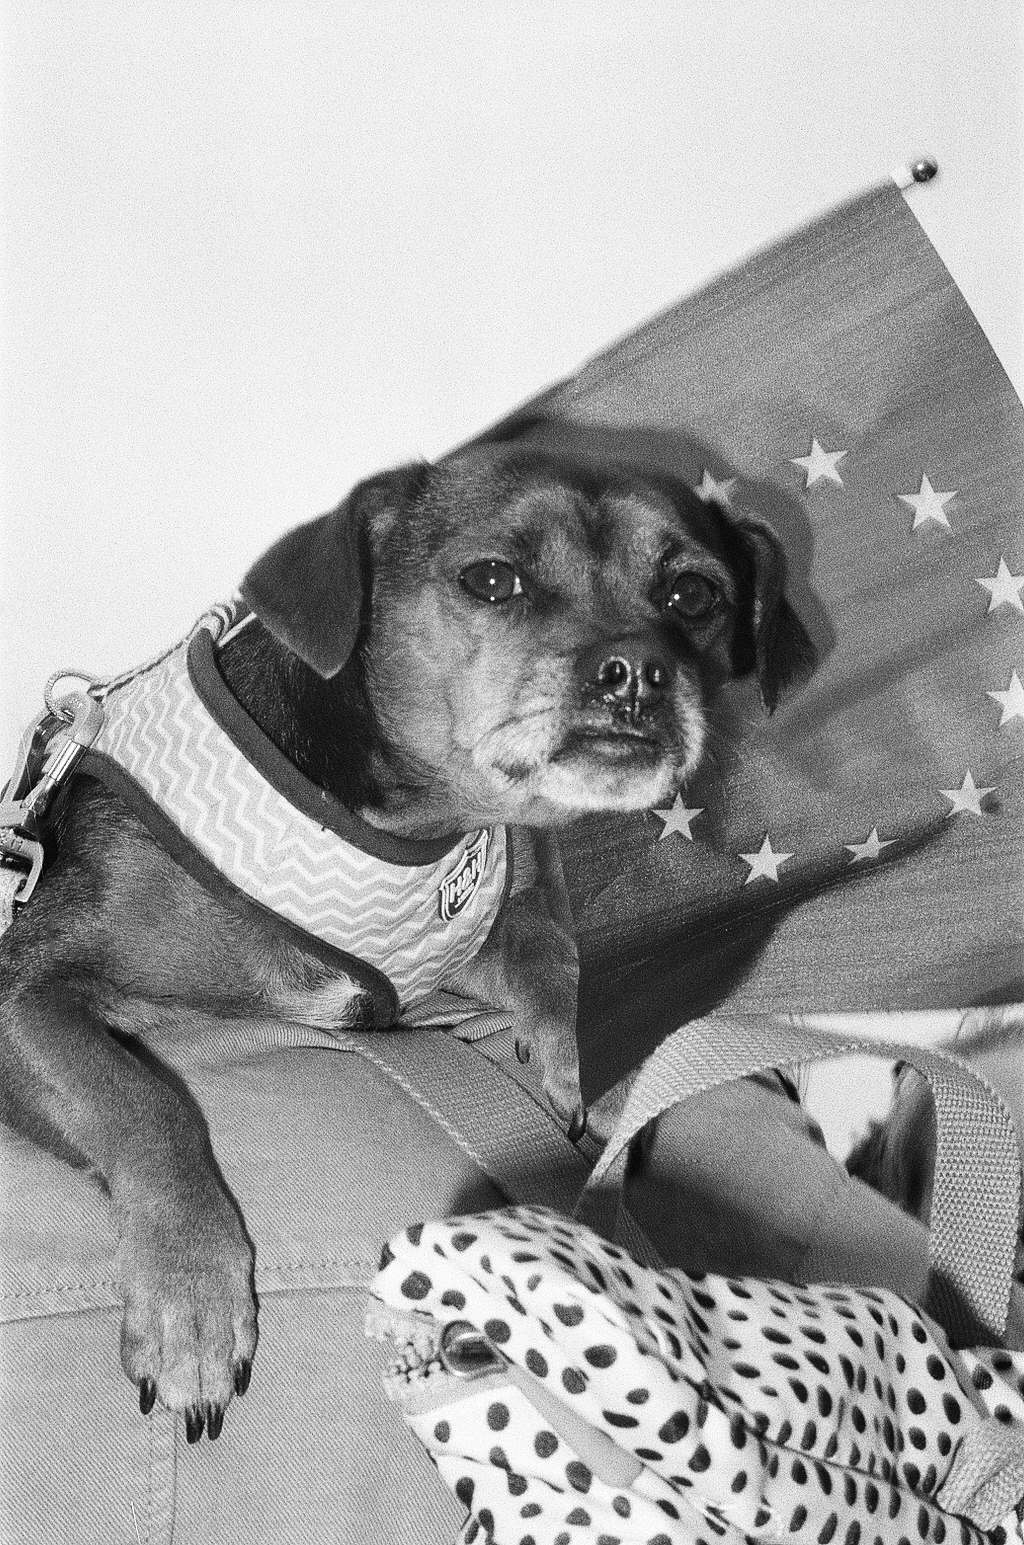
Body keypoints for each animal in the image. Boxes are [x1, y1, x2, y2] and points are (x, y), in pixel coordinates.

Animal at [0, 442, 815, 1441]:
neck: (408, 824)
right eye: (493, 578)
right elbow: (142, 1101)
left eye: (693, 594)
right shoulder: (28, 987)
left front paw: (568, 1056)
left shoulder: (465, 949)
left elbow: (551, 955)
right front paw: (191, 1294)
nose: (637, 671)